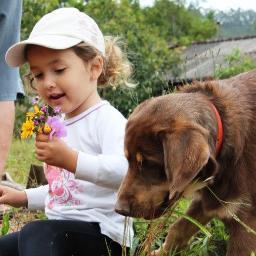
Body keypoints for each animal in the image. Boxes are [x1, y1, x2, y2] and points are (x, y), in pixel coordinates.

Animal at [115, 70, 256, 256]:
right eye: (128, 160)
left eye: (148, 163)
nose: (119, 210)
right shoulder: (209, 200)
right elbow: (178, 229)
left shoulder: (245, 222)